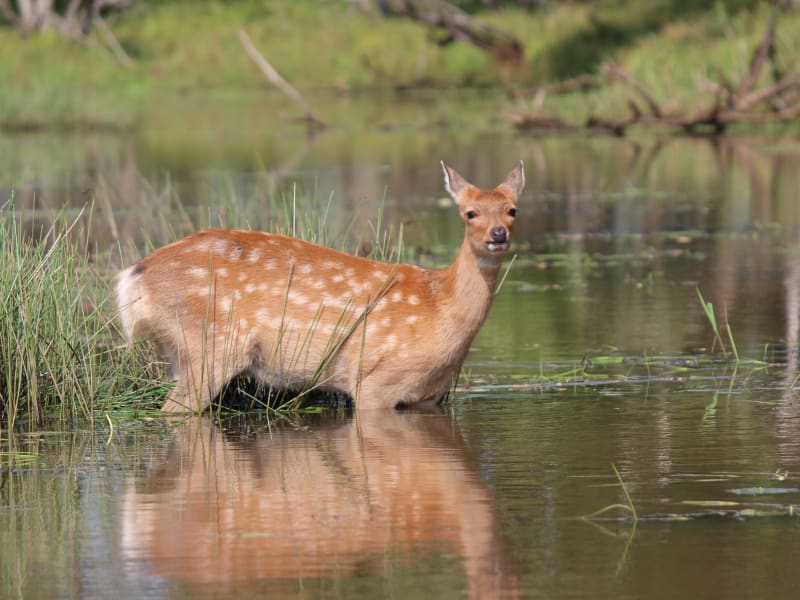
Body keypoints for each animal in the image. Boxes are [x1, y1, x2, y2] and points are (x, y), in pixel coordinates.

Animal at [114, 161, 524, 412]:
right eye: (470, 213)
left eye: (512, 210)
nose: (497, 235)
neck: (439, 307)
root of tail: (134, 275)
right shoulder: (375, 381)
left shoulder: (429, 397)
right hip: (208, 346)